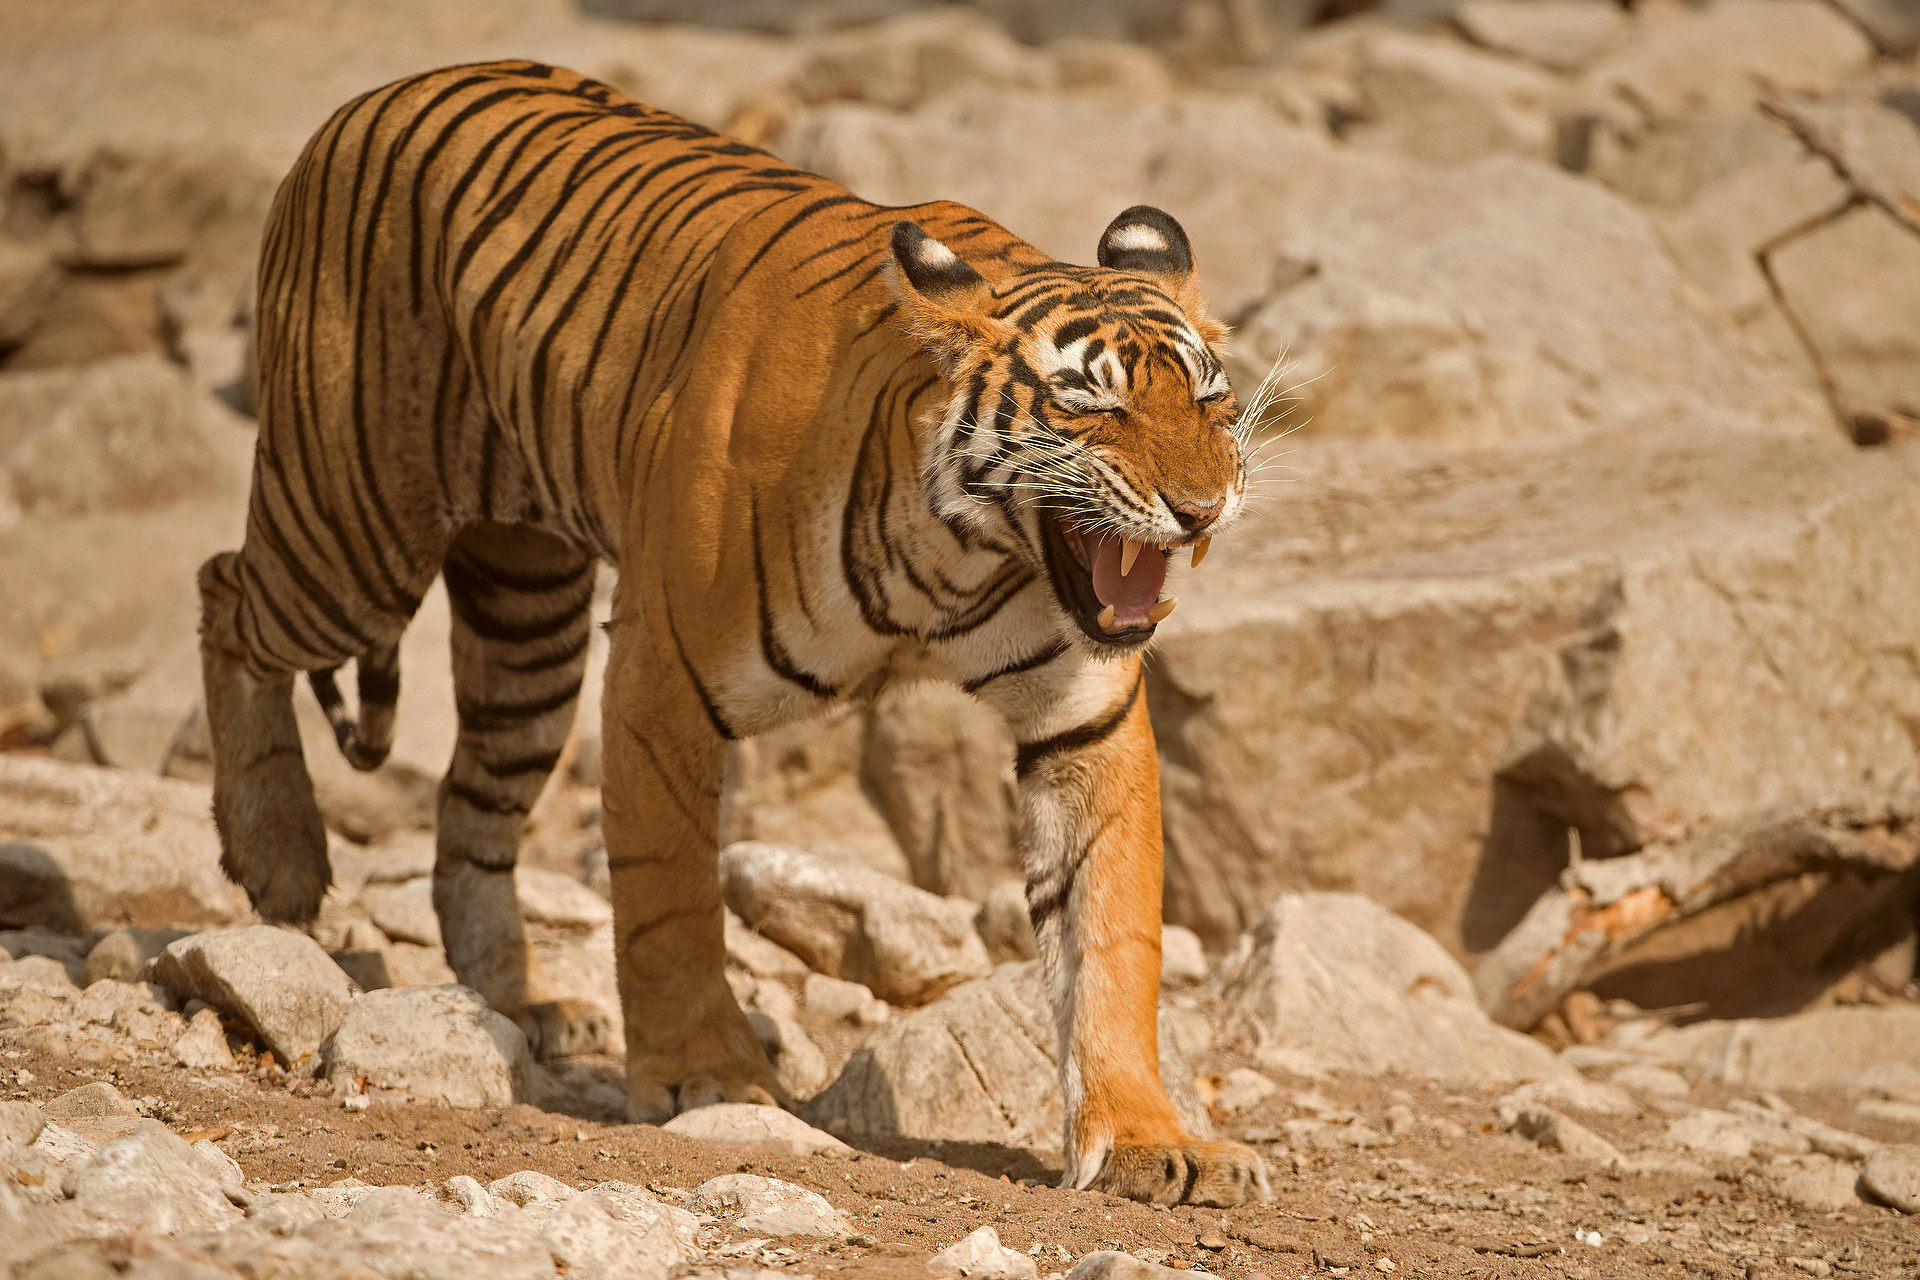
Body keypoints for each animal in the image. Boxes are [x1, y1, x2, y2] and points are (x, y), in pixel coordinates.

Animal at [197, 59, 1269, 1207]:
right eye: (1091, 407)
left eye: (1210, 399)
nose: (1203, 508)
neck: (961, 554)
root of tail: (383, 92)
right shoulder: (660, 674)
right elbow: (669, 896)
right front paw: (705, 1077)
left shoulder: (1082, 718)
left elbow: (1110, 931)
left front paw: (1153, 1138)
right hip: (352, 531)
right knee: (227, 595)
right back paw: (278, 858)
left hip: (527, 622)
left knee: (470, 802)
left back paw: (521, 1010)